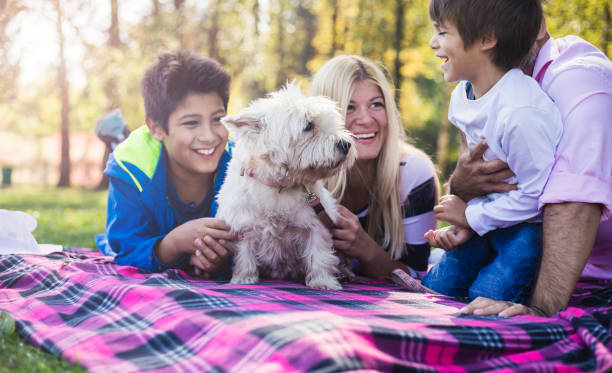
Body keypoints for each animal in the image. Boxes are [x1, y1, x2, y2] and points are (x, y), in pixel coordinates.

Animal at [218, 83, 356, 290]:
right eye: (308, 126)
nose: (346, 145)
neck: (278, 186)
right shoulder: (244, 225)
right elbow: (245, 255)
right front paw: (243, 279)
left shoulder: (316, 225)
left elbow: (320, 254)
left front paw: (323, 282)